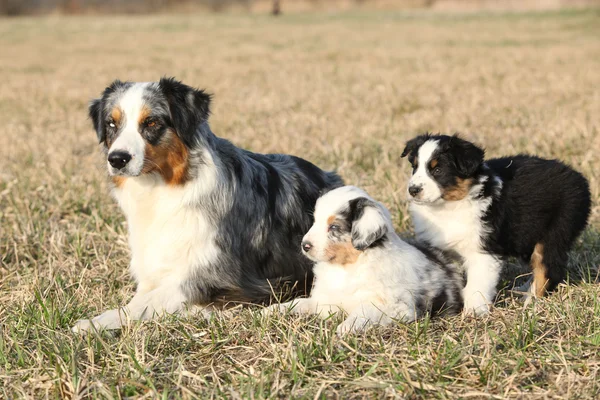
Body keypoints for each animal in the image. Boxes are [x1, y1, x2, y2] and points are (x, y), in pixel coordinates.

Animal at [71, 76, 342, 332]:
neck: (163, 190)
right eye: (111, 123)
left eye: (151, 123)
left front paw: (94, 322)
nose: (117, 159)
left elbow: (146, 303)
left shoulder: (217, 274)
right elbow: (143, 296)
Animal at [262, 186, 464, 336]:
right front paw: (272, 310)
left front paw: (347, 326)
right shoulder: (327, 300)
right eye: (315, 221)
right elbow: (300, 303)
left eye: (334, 227)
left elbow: (365, 310)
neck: (347, 268)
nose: (305, 245)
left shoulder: (397, 307)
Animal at [400, 134, 592, 316]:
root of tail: (580, 179)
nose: (413, 190)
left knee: (549, 268)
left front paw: (473, 312)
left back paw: (531, 303)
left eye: (438, 170)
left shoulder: (482, 250)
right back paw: (523, 290)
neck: (448, 208)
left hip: (555, 232)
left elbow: (477, 284)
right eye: (414, 167)